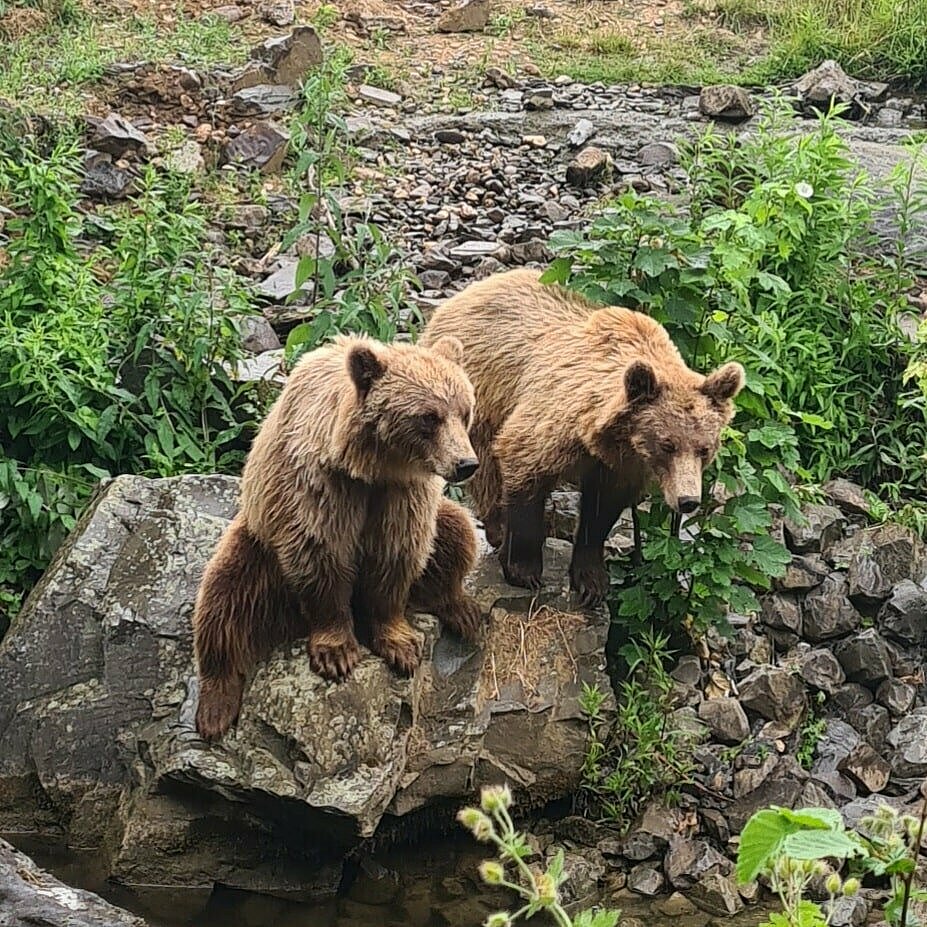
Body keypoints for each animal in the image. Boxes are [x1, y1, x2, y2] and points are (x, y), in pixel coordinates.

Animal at [196, 332, 486, 740]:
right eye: (429, 417)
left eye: (465, 411)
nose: (466, 464)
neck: (372, 467)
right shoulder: (321, 487)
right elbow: (321, 556)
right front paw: (336, 653)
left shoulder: (401, 497)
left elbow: (397, 556)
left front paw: (401, 645)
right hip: (255, 541)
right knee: (223, 599)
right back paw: (215, 707)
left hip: (442, 518)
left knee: (458, 534)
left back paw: (462, 609)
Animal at [420, 266, 748, 608]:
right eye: (667, 444)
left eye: (704, 449)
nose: (688, 500)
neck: (606, 438)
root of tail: (469, 291)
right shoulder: (555, 420)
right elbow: (525, 465)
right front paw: (523, 569)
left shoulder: (621, 464)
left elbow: (602, 510)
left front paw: (592, 582)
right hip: (478, 394)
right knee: (483, 463)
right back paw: (496, 527)